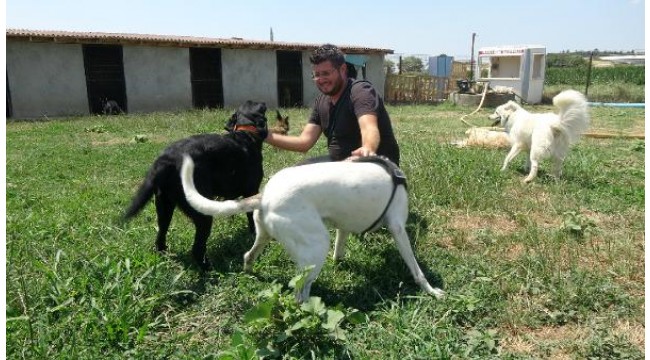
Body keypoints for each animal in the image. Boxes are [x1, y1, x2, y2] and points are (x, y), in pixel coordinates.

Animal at [178, 154, 440, 300]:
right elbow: (416, 268)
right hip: (316, 248)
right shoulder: (398, 228)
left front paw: (340, 262)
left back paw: (250, 272)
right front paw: (430, 290)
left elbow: (339, 248)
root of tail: (264, 196)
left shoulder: (343, 227)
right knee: (299, 293)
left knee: (248, 255)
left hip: (264, 236)